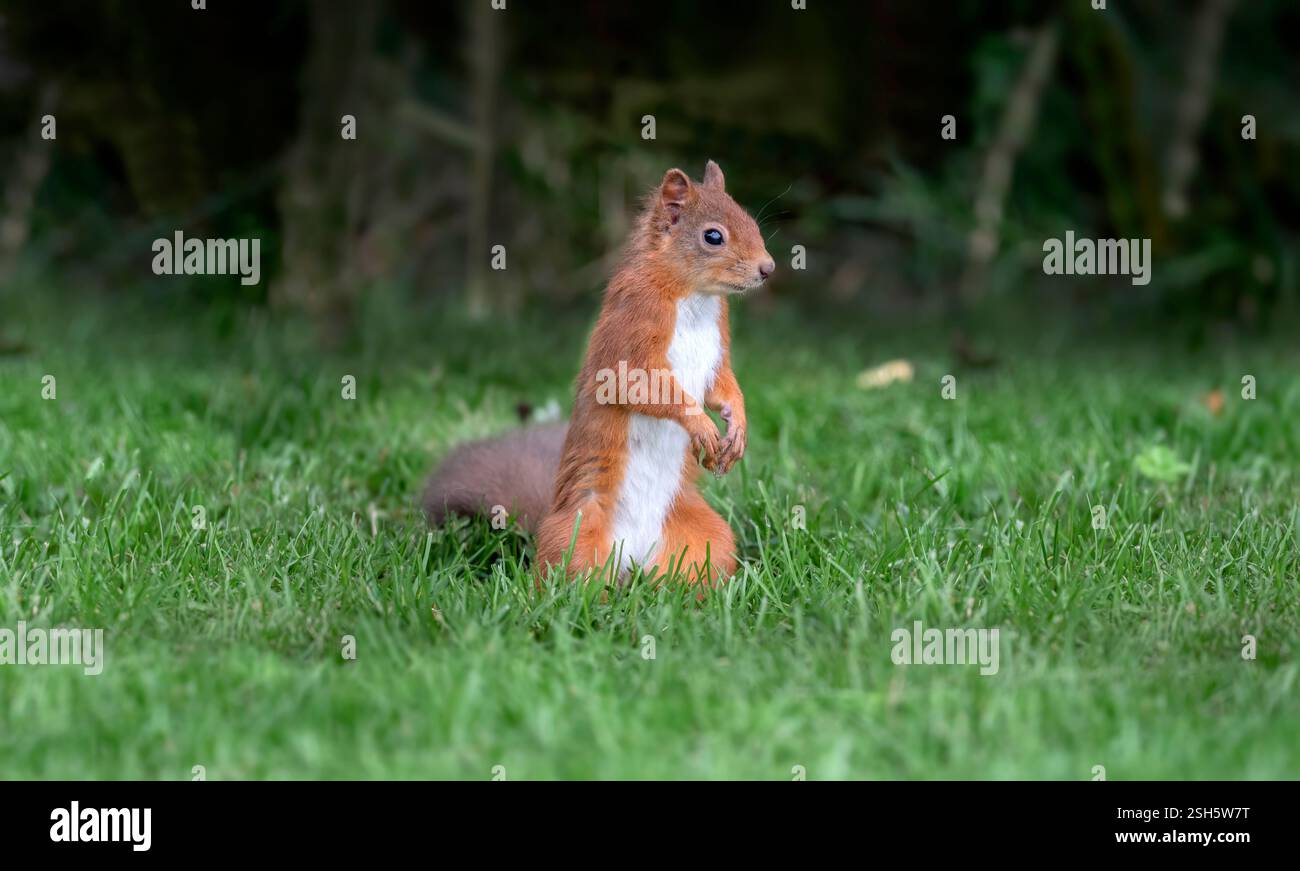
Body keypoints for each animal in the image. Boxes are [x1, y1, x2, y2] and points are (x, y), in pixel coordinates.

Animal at [424, 160, 774, 588]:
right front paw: (700, 424)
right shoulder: (630, 334)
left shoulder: (716, 352)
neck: (694, 298)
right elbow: (640, 386)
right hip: (577, 533)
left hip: (707, 538)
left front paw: (737, 426)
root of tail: (633, 560)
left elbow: (722, 387)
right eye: (713, 236)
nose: (768, 268)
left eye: (751, 221)